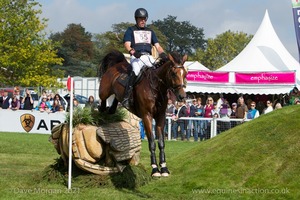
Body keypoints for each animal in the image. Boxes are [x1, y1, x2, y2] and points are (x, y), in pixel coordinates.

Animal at [99, 49, 188, 177]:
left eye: (185, 74)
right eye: (173, 74)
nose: (182, 96)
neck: (156, 88)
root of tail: (116, 65)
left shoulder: (160, 117)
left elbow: (161, 142)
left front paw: (164, 168)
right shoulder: (147, 117)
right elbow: (152, 142)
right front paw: (155, 169)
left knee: (115, 98)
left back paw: (111, 109)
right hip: (104, 90)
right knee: (102, 98)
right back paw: (102, 109)